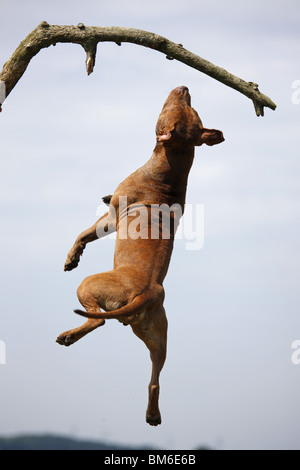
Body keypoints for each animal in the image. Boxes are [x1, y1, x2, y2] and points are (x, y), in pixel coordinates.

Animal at [56, 87, 223, 426]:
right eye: (189, 108)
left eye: (177, 107)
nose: (184, 88)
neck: (172, 165)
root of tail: (146, 294)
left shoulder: (110, 218)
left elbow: (84, 233)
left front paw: (72, 256)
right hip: (159, 337)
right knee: (155, 379)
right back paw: (153, 414)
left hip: (88, 286)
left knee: (96, 321)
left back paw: (68, 335)